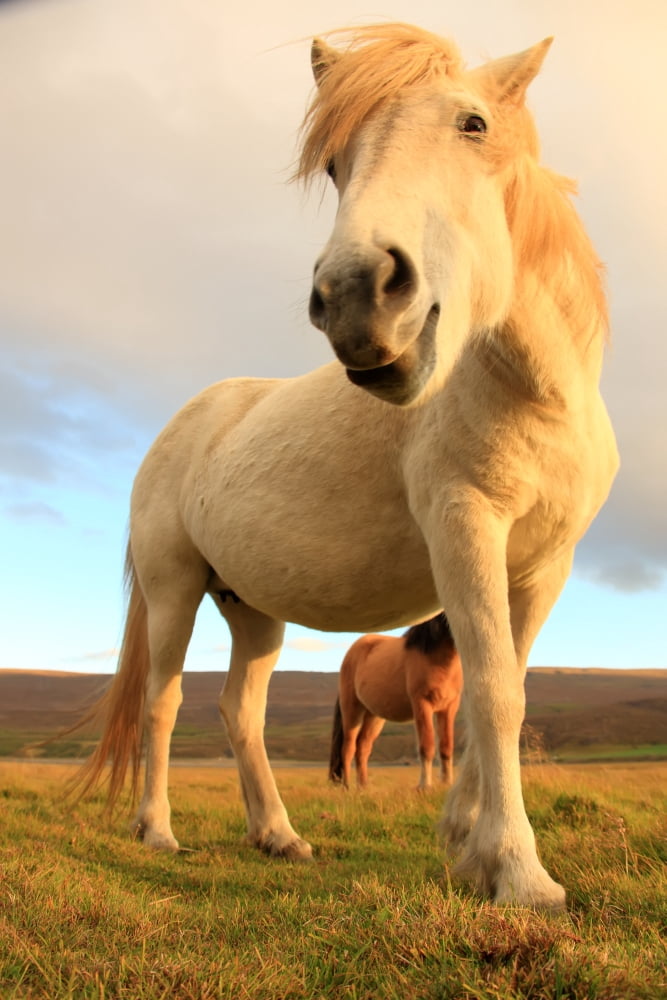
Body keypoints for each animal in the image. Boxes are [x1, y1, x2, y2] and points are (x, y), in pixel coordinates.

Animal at [329, 613, 463, 790]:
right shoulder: (422, 705)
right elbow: (427, 746)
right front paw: (424, 786)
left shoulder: (448, 708)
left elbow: (446, 747)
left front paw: (447, 784)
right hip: (352, 710)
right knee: (348, 748)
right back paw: (347, 788)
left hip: (374, 716)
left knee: (362, 748)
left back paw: (363, 788)